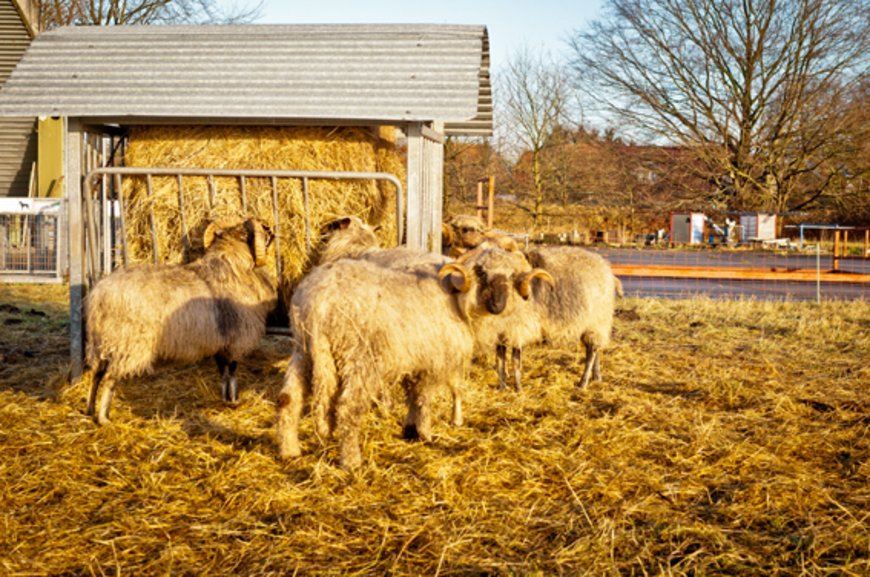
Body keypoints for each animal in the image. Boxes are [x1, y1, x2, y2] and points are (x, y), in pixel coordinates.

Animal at [84, 216, 278, 424]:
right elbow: (232, 371)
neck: (232, 268)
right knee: (110, 378)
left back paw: (89, 409)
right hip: (127, 344)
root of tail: (100, 294)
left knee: (96, 374)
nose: (271, 231)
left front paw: (225, 398)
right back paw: (103, 418)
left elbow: (223, 371)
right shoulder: (236, 340)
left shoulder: (220, 341)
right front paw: (234, 400)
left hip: (102, 342)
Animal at [278, 243, 552, 468]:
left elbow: (413, 394)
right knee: (348, 407)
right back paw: (351, 461)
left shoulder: (417, 359)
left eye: (510, 276)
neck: (456, 299)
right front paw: (424, 432)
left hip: (304, 351)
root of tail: (319, 304)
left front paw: (410, 428)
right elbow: (423, 398)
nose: (498, 306)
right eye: (481, 272)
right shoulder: (433, 359)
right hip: (361, 359)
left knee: (288, 399)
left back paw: (289, 451)